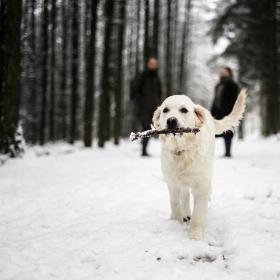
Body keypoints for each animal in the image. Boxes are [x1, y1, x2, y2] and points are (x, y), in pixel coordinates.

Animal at [152, 88, 246, 240]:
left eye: (184, 110)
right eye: (165, 110)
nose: (171, 120)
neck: (182, 150)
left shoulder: (201, 185)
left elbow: (198, 213)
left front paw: (195, 236)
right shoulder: (172, 182)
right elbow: (175, 203)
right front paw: (175, 222)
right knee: (184, 195)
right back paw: (185, 214)